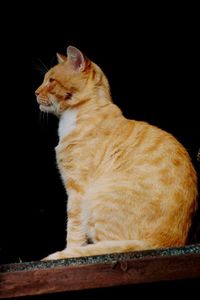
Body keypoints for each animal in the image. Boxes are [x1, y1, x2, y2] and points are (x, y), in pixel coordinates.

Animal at [35, 45, 198, 260]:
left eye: (51, 81)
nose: (35, 92)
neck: (72, 118)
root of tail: (167, 242)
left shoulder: (77, 190)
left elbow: (74, 229)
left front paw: (69, 252)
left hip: (96, 200)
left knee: (111, 246)